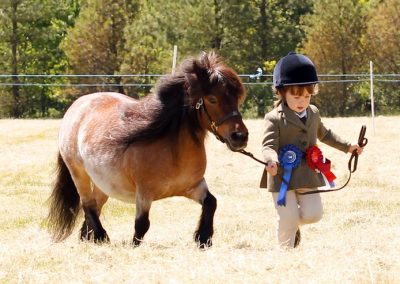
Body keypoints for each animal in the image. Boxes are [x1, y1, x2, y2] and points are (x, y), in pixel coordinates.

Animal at [46, 52, 247, 247]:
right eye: (212, 99)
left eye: (237, 98)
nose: (240, 137)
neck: (173, 151)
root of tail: (77, 105)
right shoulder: (144, 193)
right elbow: (142, 224)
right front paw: (134, 245)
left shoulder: (194, 186)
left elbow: (211, 202)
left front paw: (203, 238)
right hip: (78, 172)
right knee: (88, 204)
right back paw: (102, 237)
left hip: (103, 182)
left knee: (95, 204)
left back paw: (88, 237)